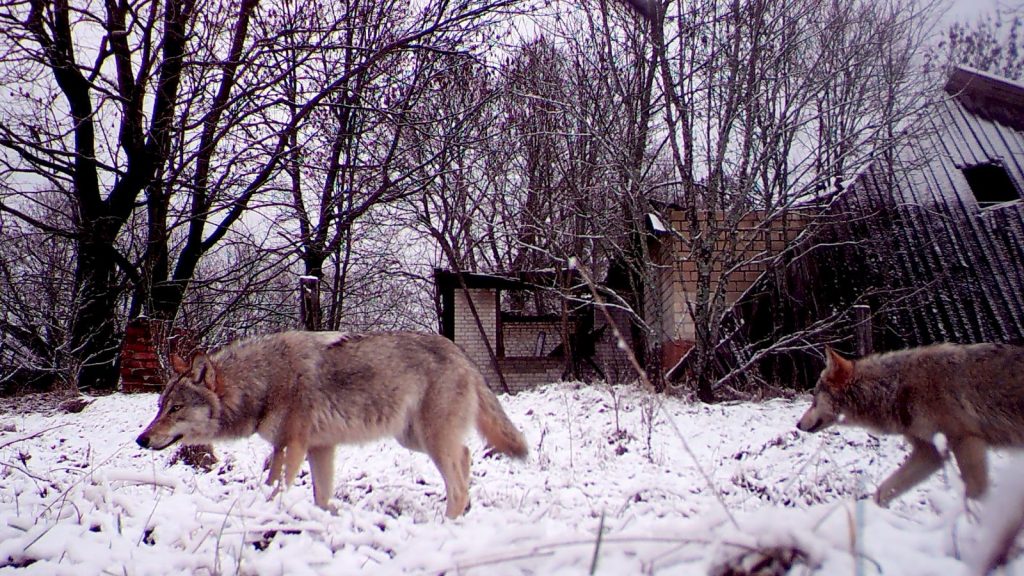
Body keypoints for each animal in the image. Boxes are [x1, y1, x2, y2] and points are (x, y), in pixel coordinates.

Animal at [136, 330, 528, 518]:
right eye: (160, 407)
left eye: (175, 408)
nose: (141, 439)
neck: (264, 381)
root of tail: (463, 355)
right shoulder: (320, 448)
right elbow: (321, 496)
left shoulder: (290, 446)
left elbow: (275, 487)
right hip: (415, 439)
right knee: (466, 456)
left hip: (429, 441)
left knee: (458, 480)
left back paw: (447, 524)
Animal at [794, 340, 1024, 502]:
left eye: (814, 399)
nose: (797, 424)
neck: (895, 388)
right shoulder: (930, 453)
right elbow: (883, 491)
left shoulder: (966, 441)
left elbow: (975, 493)